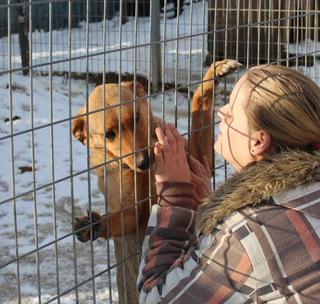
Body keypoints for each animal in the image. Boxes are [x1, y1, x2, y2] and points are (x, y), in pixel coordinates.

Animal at [72, 58, 240, 302]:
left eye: (136, 117)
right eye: (109, 134)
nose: (144, 161)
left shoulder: (202, 161)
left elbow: (199, 104)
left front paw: (215, 72)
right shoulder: (132, 213)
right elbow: (118, 218)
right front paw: (93, 224)